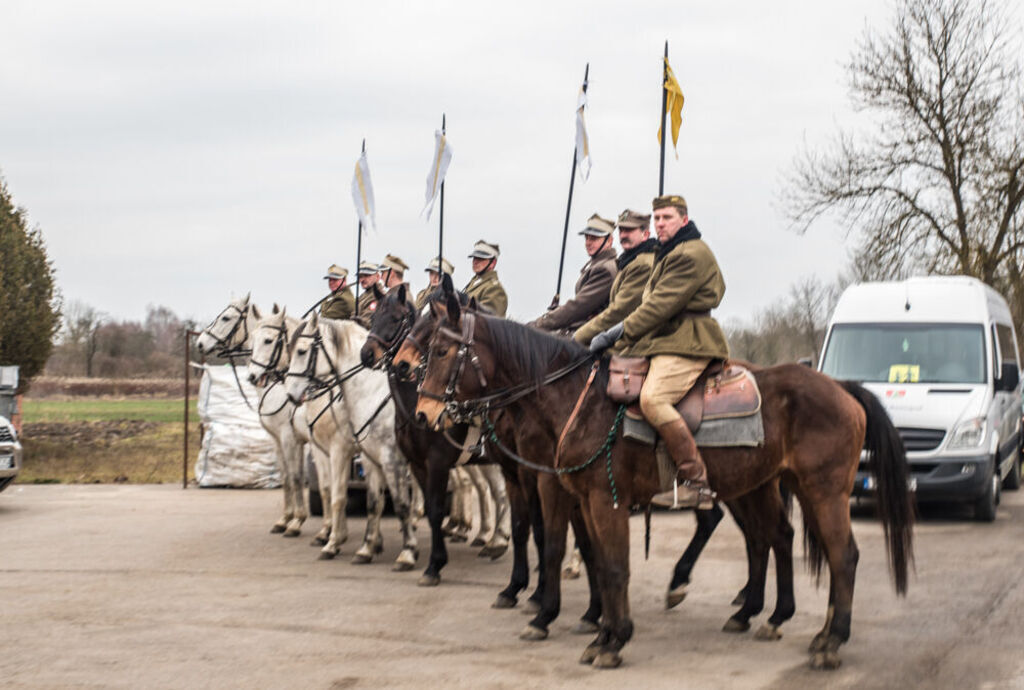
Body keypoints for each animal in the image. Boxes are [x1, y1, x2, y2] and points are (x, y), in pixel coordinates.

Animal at [284, 315, 419, 565]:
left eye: (301, 351)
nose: (290, 395)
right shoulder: (336, 453)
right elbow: (340, 493)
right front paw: (364, 543)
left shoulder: (344, 450)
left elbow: (339, 497)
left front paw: (333, 543)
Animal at [411, 294, 917, 667]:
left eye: (441, 349)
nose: (423, 413)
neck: (577, 400)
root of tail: (840, 387)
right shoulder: (577, 496)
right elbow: (592, 559)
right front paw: (595, 628)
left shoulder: (599, 498)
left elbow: (608, 564)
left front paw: (611, 639)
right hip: (773, 486)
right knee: (780, 539)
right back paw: (780, 619)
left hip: (823, 491)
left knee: (841, 555)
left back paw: (830, 641)